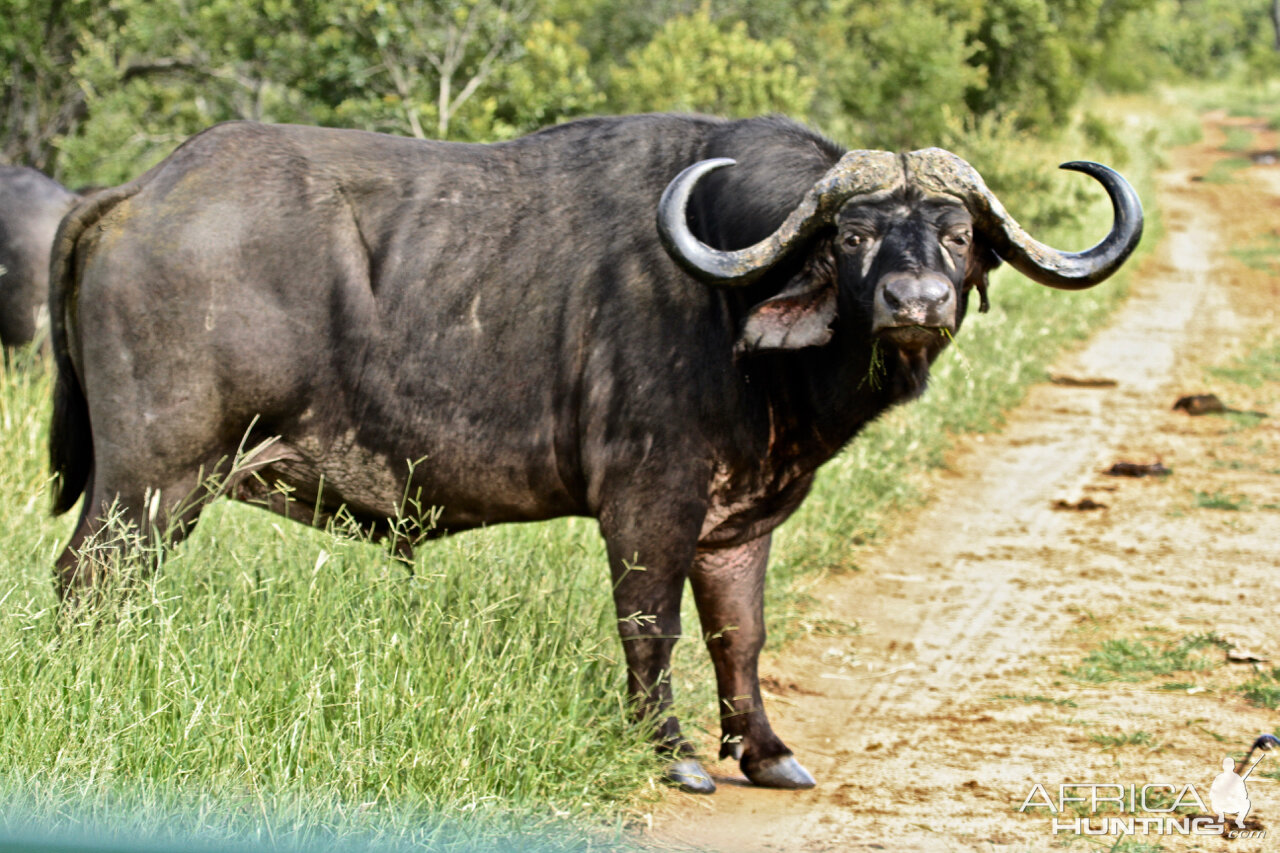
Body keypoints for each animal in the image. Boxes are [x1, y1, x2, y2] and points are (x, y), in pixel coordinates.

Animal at [45, 112, 1141, 788]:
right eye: (852, 236)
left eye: (957, 234)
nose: (917, 304)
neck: (733, 316)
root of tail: (136, 192)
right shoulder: (647, 501)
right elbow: (650, 627)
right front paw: (670, 752)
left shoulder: (738, 521)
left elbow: (740, 636)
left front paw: (763, 750)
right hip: (153, 482)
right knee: (87, 588)